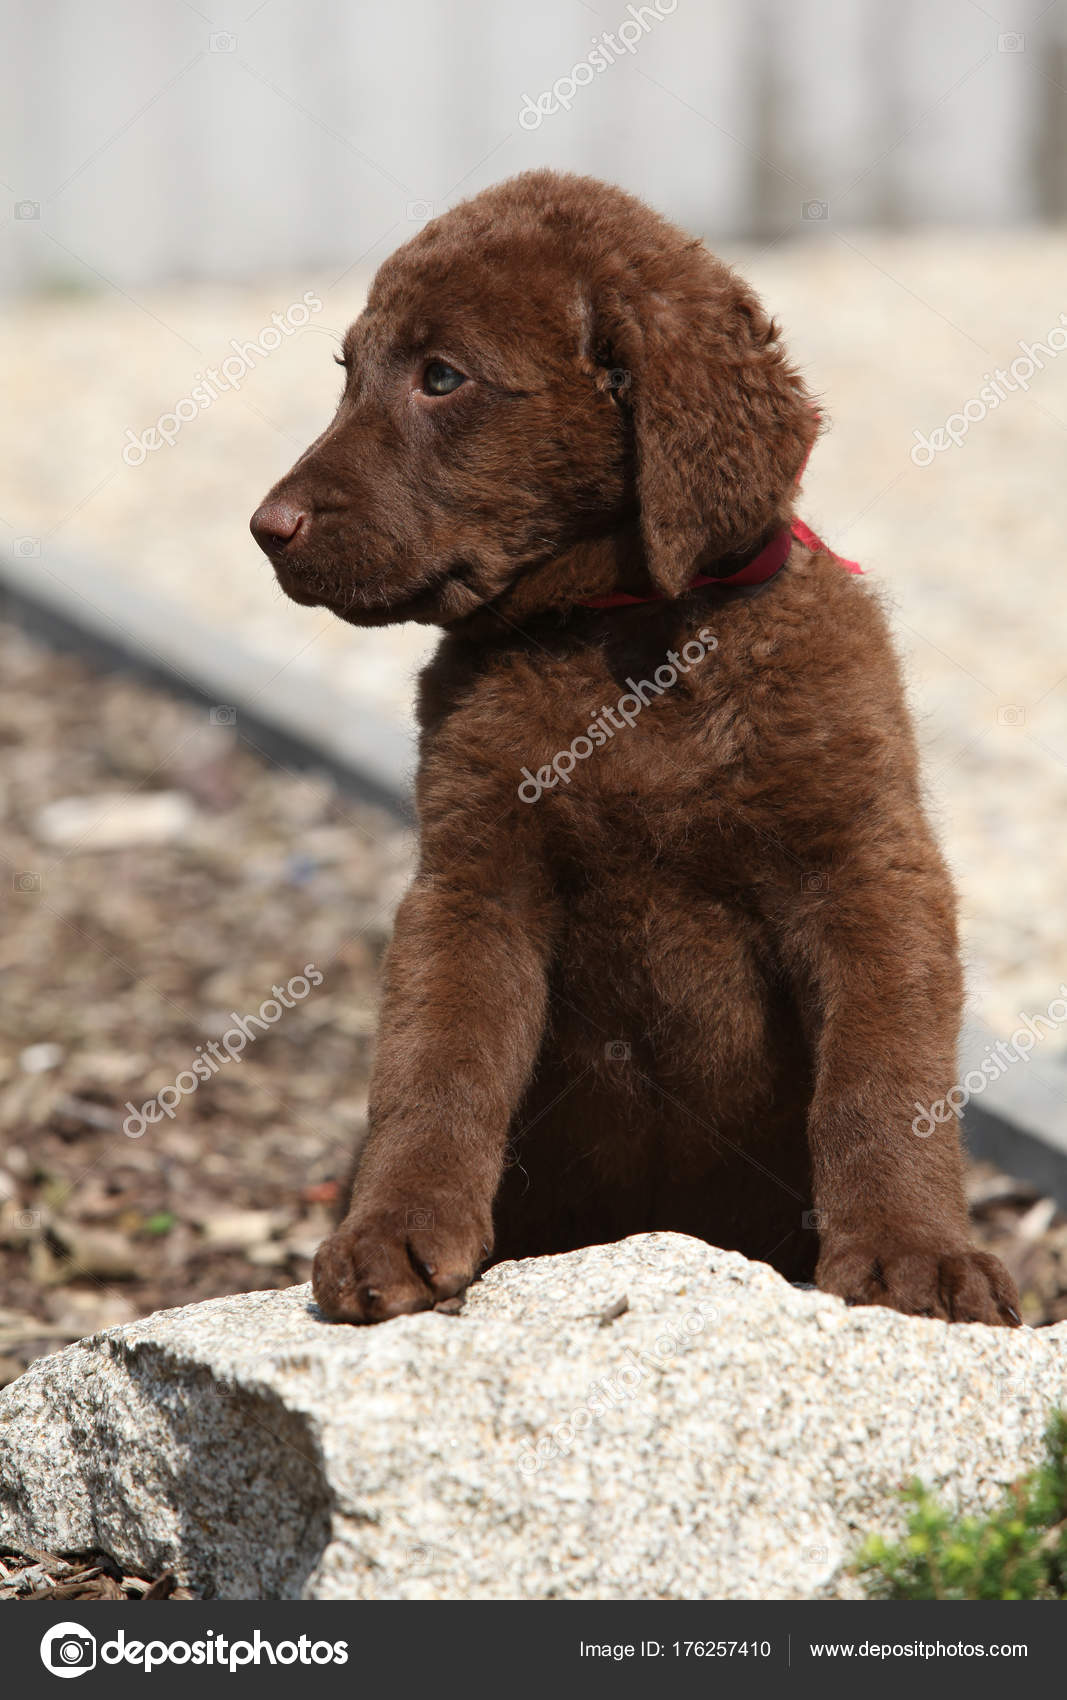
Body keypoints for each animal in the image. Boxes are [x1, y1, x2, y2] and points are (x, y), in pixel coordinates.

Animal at [251, 175, 1026, 1339]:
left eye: (442, 378)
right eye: (349, 373)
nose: (268, 526)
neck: (624, 643)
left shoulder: (866, 868)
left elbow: (883, 1079)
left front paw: (911, 1250)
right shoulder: (469, 884)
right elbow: (430, 1069)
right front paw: (391, 1229)